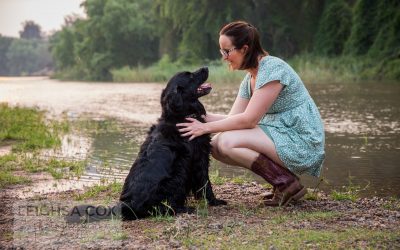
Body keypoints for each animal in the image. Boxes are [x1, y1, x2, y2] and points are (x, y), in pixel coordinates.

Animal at [118, 67, 225, 220]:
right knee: (166, 207)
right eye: (190, 76)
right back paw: (184, 208)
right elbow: (205, 183)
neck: (180, 117)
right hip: (177, 176)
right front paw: (214, 201)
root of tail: (130, 207)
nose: (206, 67)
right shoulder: (200, 159)